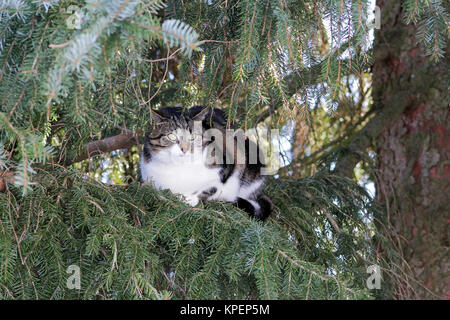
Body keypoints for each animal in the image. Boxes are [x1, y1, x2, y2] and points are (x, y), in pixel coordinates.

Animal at [139, 105, 272, 220]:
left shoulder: (227, 164)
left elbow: (212, 186)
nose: (185, 149)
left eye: (192, 136)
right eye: (171, 136)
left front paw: (190, 198)